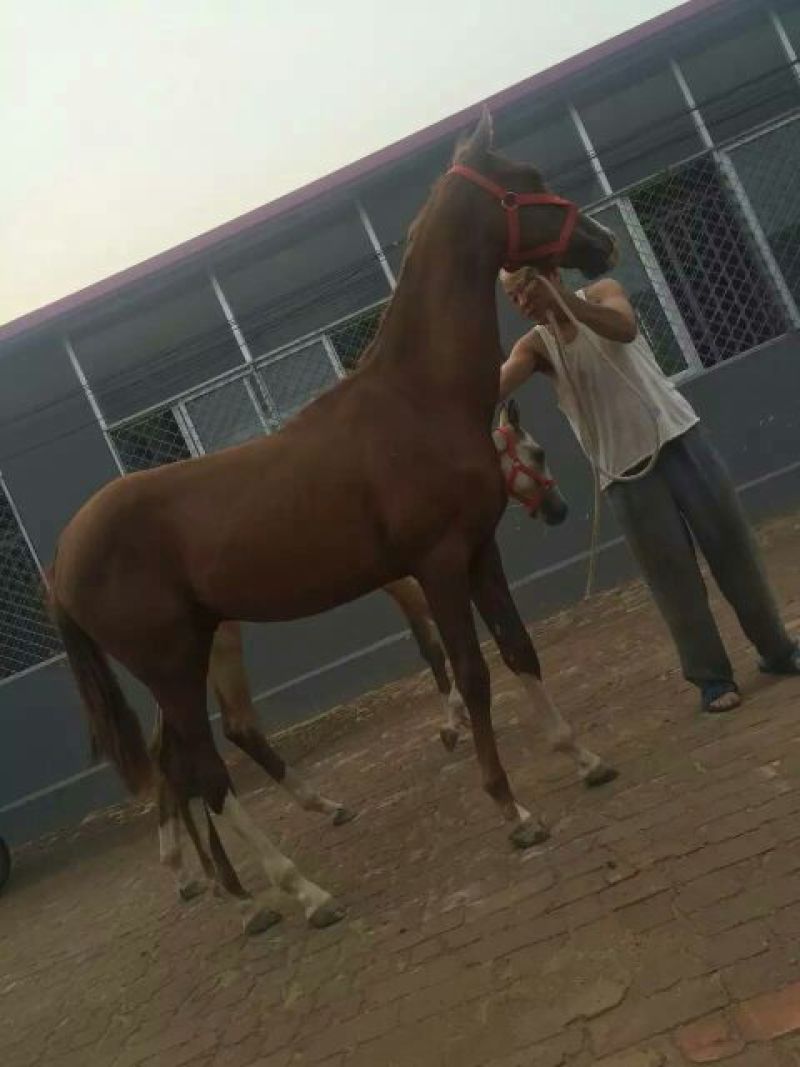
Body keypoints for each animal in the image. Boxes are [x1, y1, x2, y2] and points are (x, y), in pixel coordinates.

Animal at [156, 400, 570, 905]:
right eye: (536, 453)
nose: (559, 508)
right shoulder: (414, 582)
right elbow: (436, 648)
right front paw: (454, 725)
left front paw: (455, 724)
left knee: (202, 742)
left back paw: (218, 868)